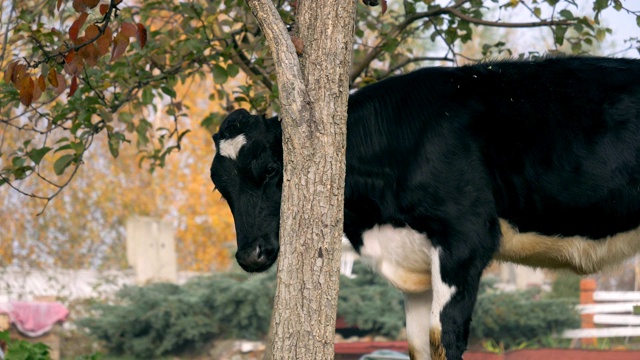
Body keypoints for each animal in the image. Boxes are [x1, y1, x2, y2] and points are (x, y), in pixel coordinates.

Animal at [210, 54, 640, 358]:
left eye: (270, 169)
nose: (250, 254)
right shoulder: (413, 262)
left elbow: (445, 339)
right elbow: (418, 345)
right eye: (220, 188)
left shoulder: (465, 242)